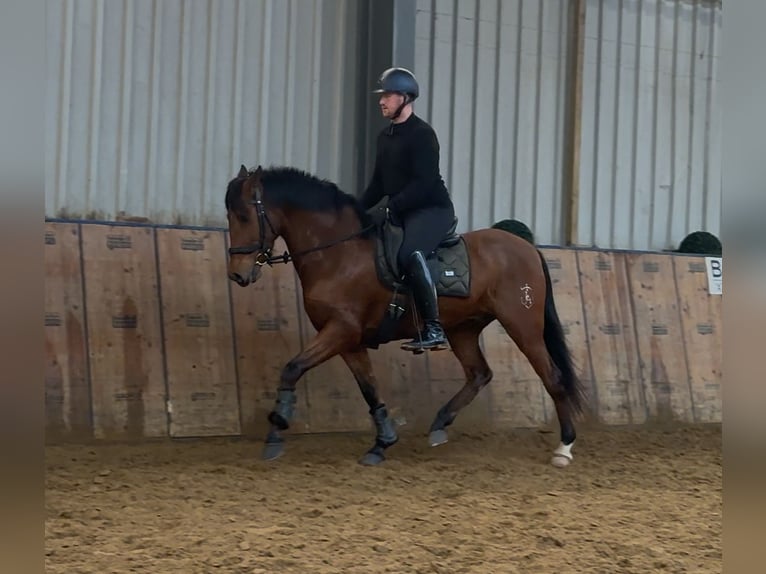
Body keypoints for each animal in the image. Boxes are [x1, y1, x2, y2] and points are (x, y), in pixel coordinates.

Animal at [225, 164, 587, 468]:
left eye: (243, 216)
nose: (238, 275)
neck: (337, 253)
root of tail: (527, 247)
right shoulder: (349, 340)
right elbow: (369, 388)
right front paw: (382, 442)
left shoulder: (340, 330)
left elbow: (292, 368)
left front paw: (277, 429)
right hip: (463, 329)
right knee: (479, 374)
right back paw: (440, 423)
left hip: (522, 325)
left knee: (552, 377)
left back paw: (564, 448)